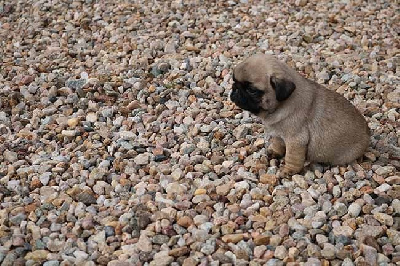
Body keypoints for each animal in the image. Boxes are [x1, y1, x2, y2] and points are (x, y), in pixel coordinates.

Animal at [230, 53, 370, 176]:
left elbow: (292, 158)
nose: (235, 89)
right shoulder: (278, 135)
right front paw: (275, 152)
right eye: (234, 80)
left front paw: (288, 171)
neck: (279, 106)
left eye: (252, 90)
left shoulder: (296, 141)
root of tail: (368, 134)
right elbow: (278, 144)